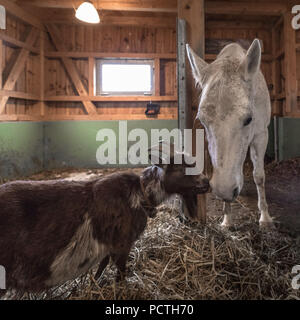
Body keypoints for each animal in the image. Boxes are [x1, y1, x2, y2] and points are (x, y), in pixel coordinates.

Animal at [0, 145, 209, 296]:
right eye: (181, 167)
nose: (206, 182)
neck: (140, 193)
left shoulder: (108, 247)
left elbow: (101, 267)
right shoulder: (122, 244)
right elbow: (121, 274)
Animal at [188, 38, 274, 228]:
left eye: (249, 119)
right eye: (202, 121)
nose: (225, 191)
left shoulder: (261, 136)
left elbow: (259, 176)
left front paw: (265, 217)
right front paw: (227, 219)